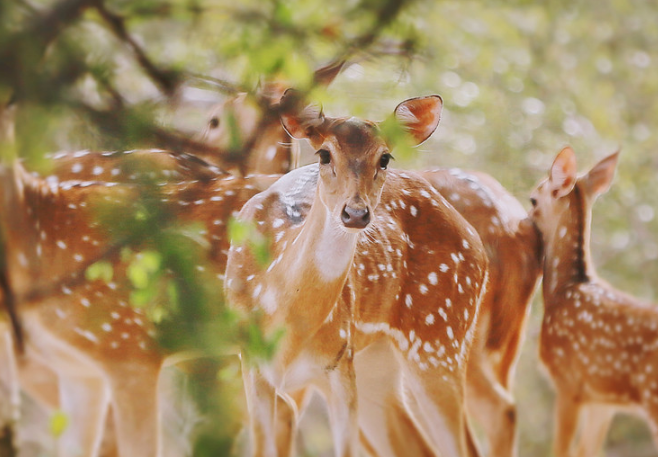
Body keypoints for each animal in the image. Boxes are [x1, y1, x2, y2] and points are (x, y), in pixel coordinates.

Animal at [528, 147, 656, 456]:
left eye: (532, 199)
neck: (564, 289)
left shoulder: (568, 382)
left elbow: (561, 449)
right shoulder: (603, 399)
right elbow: (587, 449)